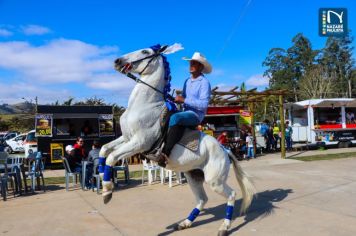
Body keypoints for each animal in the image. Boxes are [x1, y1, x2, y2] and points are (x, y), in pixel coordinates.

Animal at [99, 43, 256, 235]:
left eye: (145, 51)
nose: (117, 61)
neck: (145, 106)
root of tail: (225, 150)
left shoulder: (140, 142)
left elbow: (112, 157)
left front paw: (107, 192)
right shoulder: (126, 138)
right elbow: (104, 150)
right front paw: (101, 176)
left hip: (214, 181)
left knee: (231, 195)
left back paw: (224, 228)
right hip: (193, 177)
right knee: (202, 199)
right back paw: (185, 223)